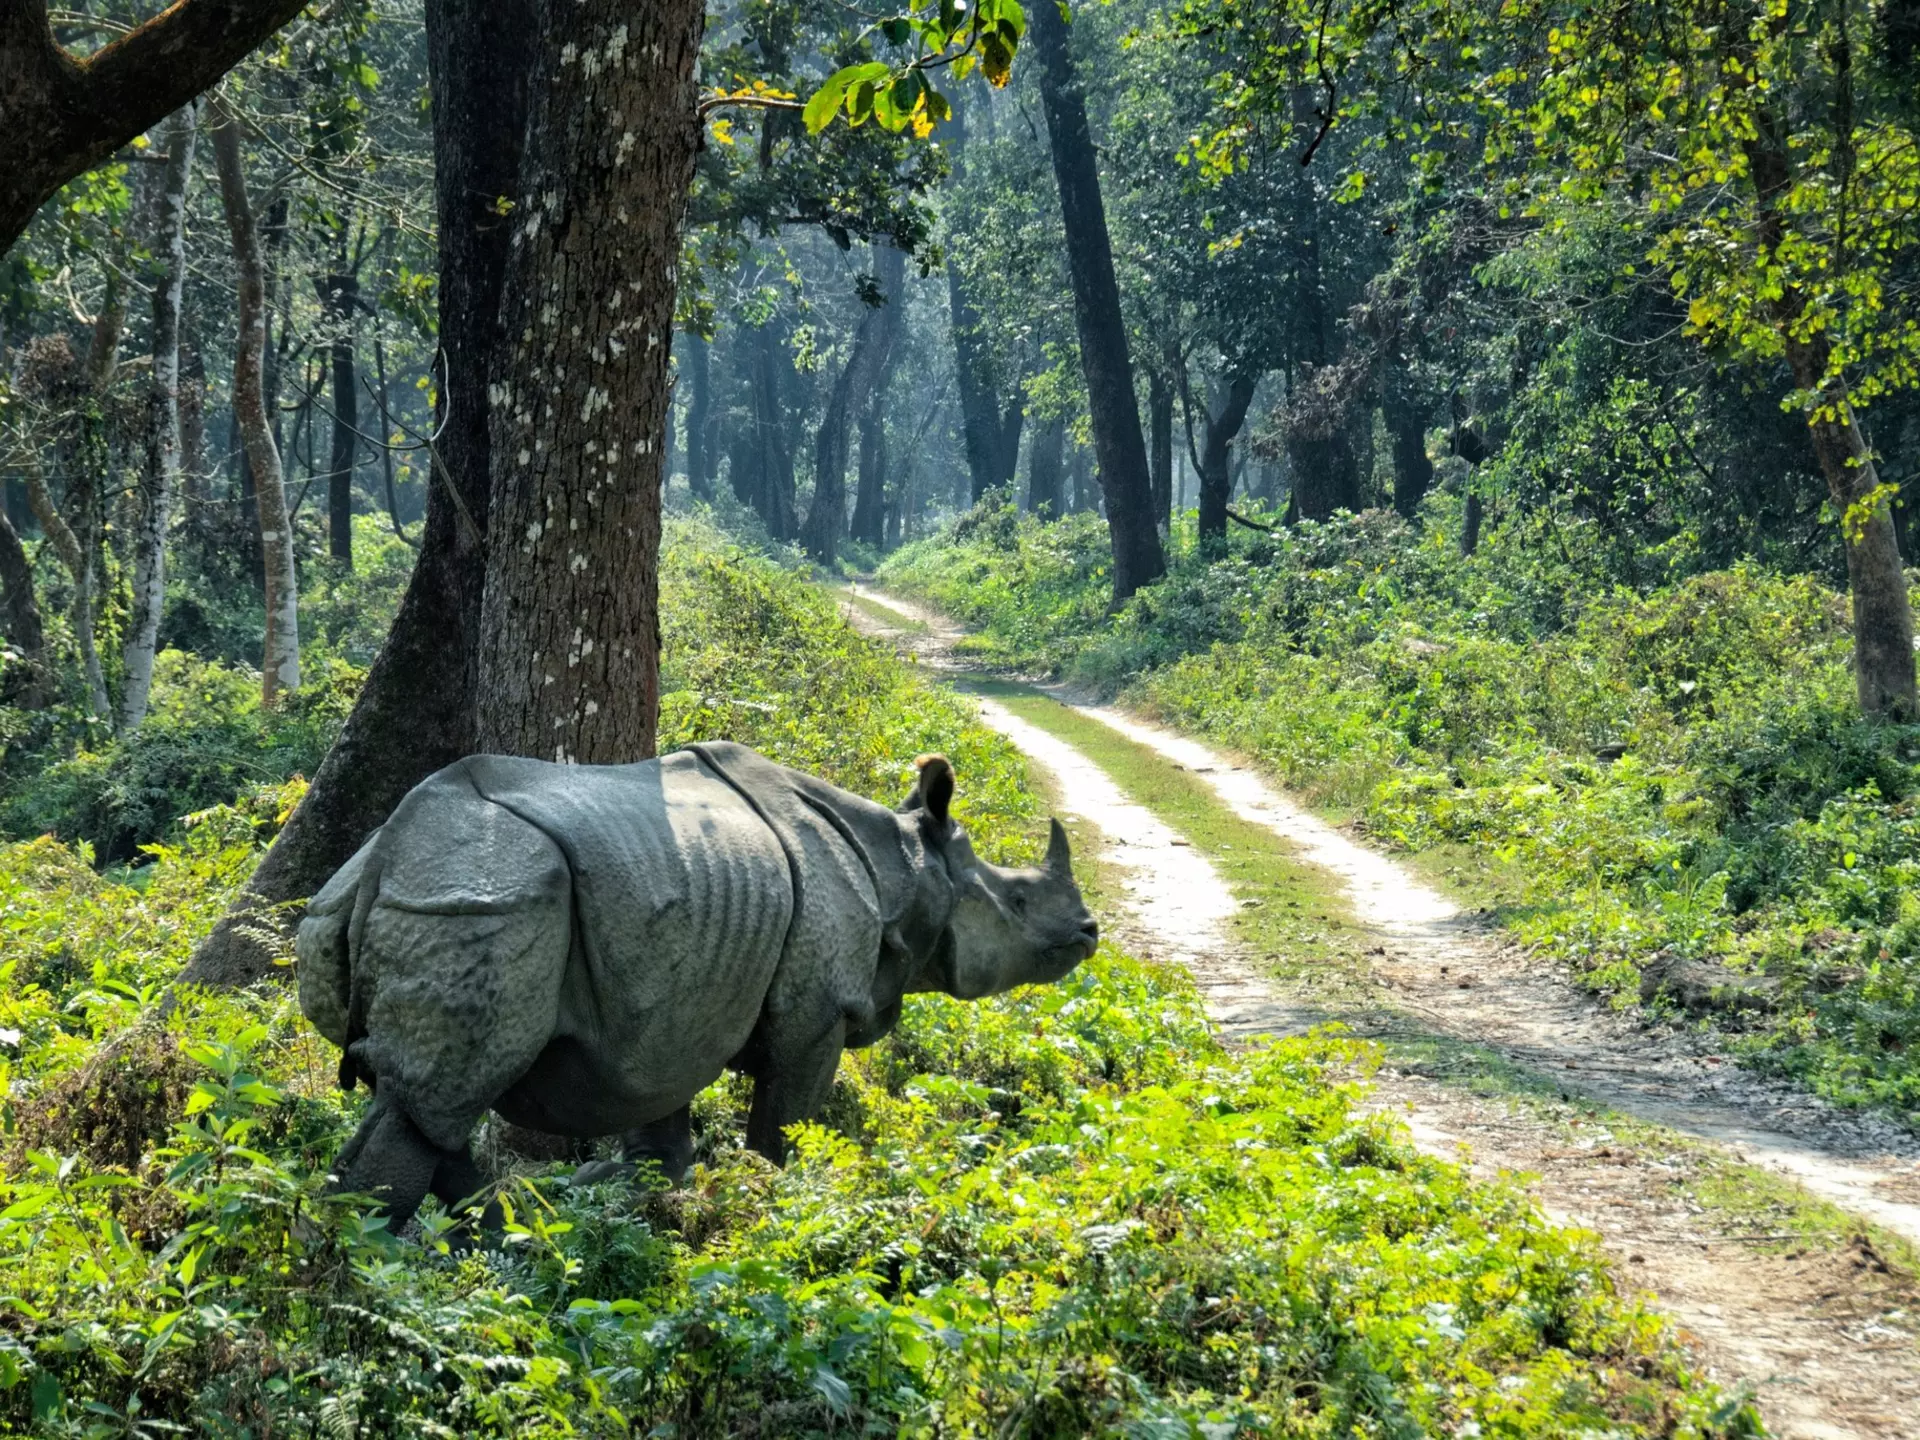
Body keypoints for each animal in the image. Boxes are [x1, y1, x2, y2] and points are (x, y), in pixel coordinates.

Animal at [295, 742, 1098, 1231]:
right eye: (1018, 899)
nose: (1090, 931)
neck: (904, 866)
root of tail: (388, 858)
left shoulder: (676, 1011)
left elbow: (661, 1118)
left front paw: (661, 1199)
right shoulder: (818, 1015)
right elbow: (785, 1125)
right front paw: (767, 1207)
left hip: (382, 899)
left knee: (432, 1108)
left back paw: (509, 1247)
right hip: (481, 902)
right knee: (433, 1102)